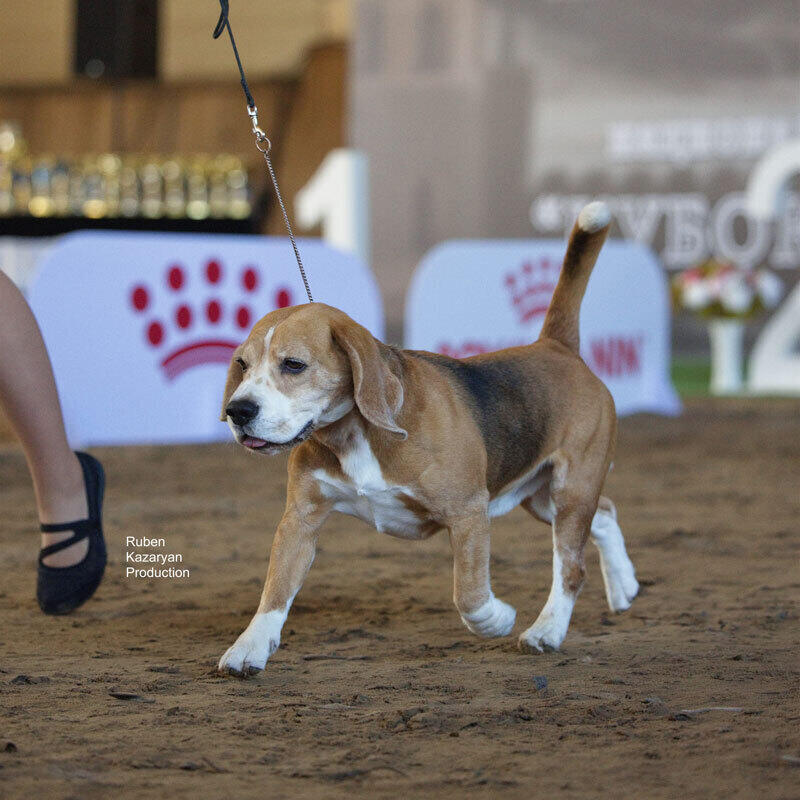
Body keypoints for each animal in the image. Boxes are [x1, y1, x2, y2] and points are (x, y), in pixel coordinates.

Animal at [217, 203, 636, 680]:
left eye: (293, 365)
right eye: (243, 365)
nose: (238, 411)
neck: (354, 434)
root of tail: (555, 347)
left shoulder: (469, 511)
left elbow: (469, 595)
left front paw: (498, 619)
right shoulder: (300, 520)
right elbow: (274, 591)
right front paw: (248, 648)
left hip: (570, 490)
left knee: (572, 567)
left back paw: (545, 631)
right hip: (541, 496)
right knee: (606, 513)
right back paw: (624, 585)